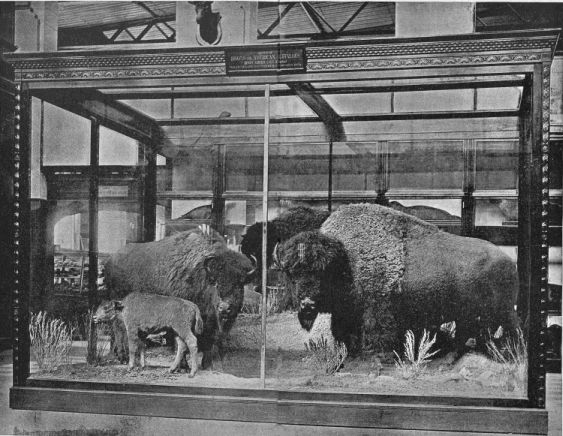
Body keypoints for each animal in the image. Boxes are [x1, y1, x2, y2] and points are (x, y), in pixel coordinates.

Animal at [105, 227, 256, 370]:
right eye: (215, 283)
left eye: (240, 284)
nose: (224, 308)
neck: (201, 275)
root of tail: (111, 260)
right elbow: (182, 343)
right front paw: (183, 366)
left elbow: (209, 339)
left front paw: (208, 364)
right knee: (118, 328)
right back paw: (123, 357)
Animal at [276, 204, 520, 354]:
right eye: (291, 273)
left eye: (323, 272)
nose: (307, 304)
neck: (345, 259)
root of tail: (509, 262)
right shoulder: (345, 314)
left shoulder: (377, 311)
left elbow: (377, 335)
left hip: (504, 311)